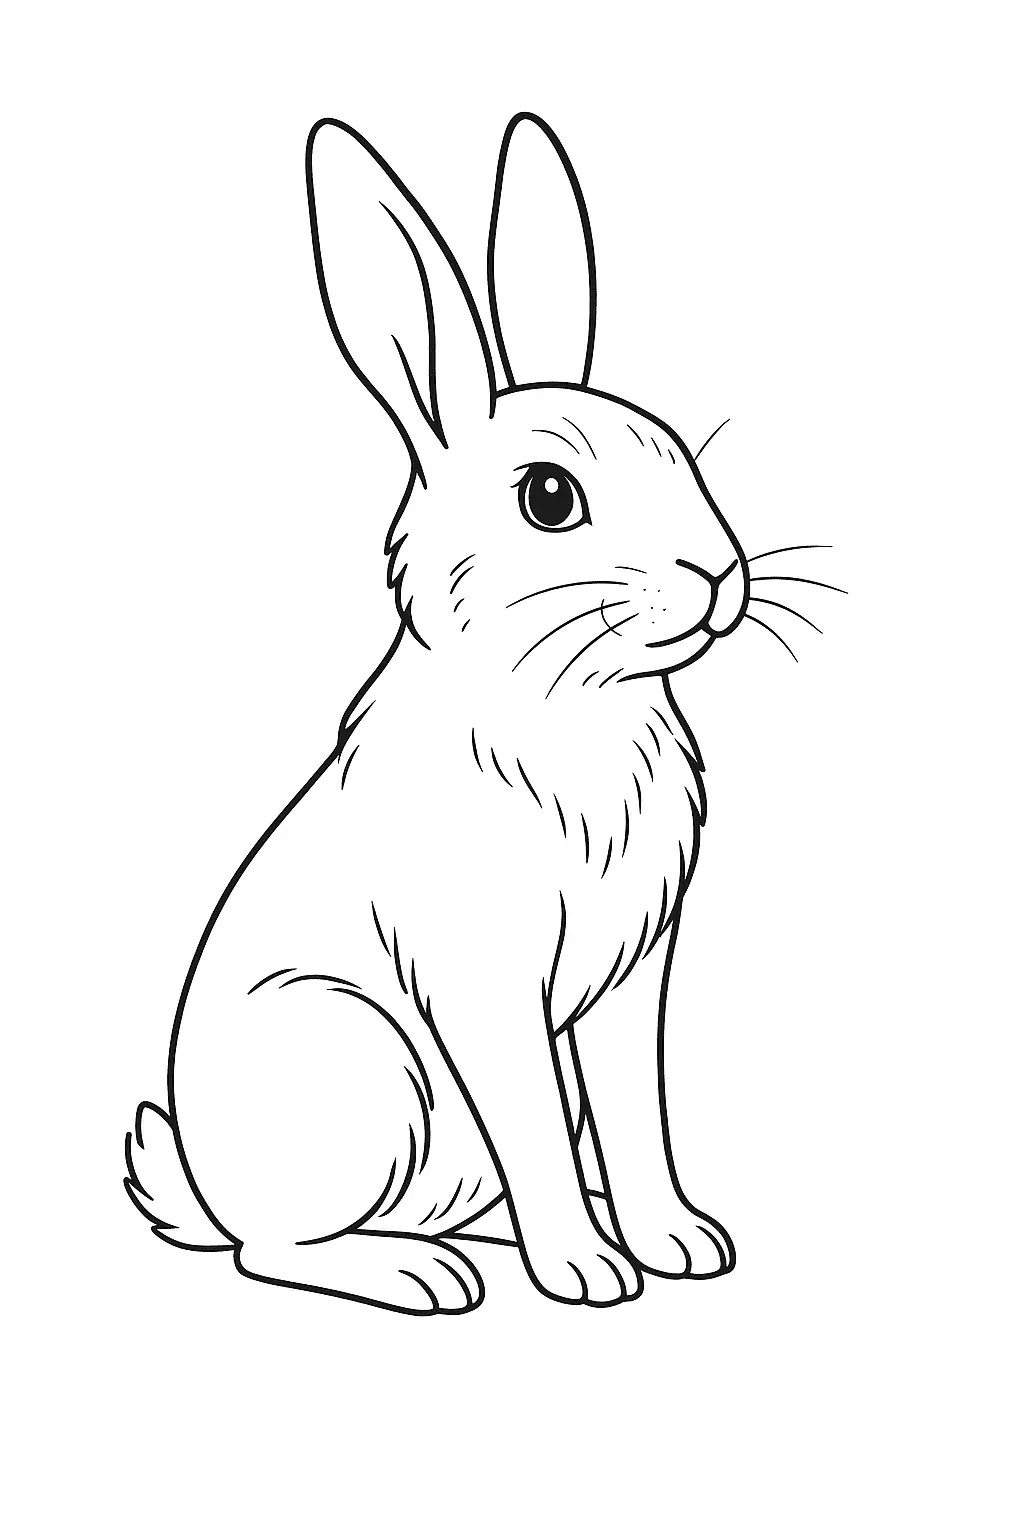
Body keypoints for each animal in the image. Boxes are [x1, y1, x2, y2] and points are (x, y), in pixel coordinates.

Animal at [125, 112, 752, 1313]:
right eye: (549, 498)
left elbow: (636, 1119)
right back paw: (426, 1274)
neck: (564, 701)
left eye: (681, 458)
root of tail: (203, 1186)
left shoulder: (628, 984)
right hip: (356, 1064)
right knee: (274, 1249)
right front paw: (588, 1275)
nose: (716, 574)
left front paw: (679, 1244)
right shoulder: (485, 982)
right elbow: (531, 1120)